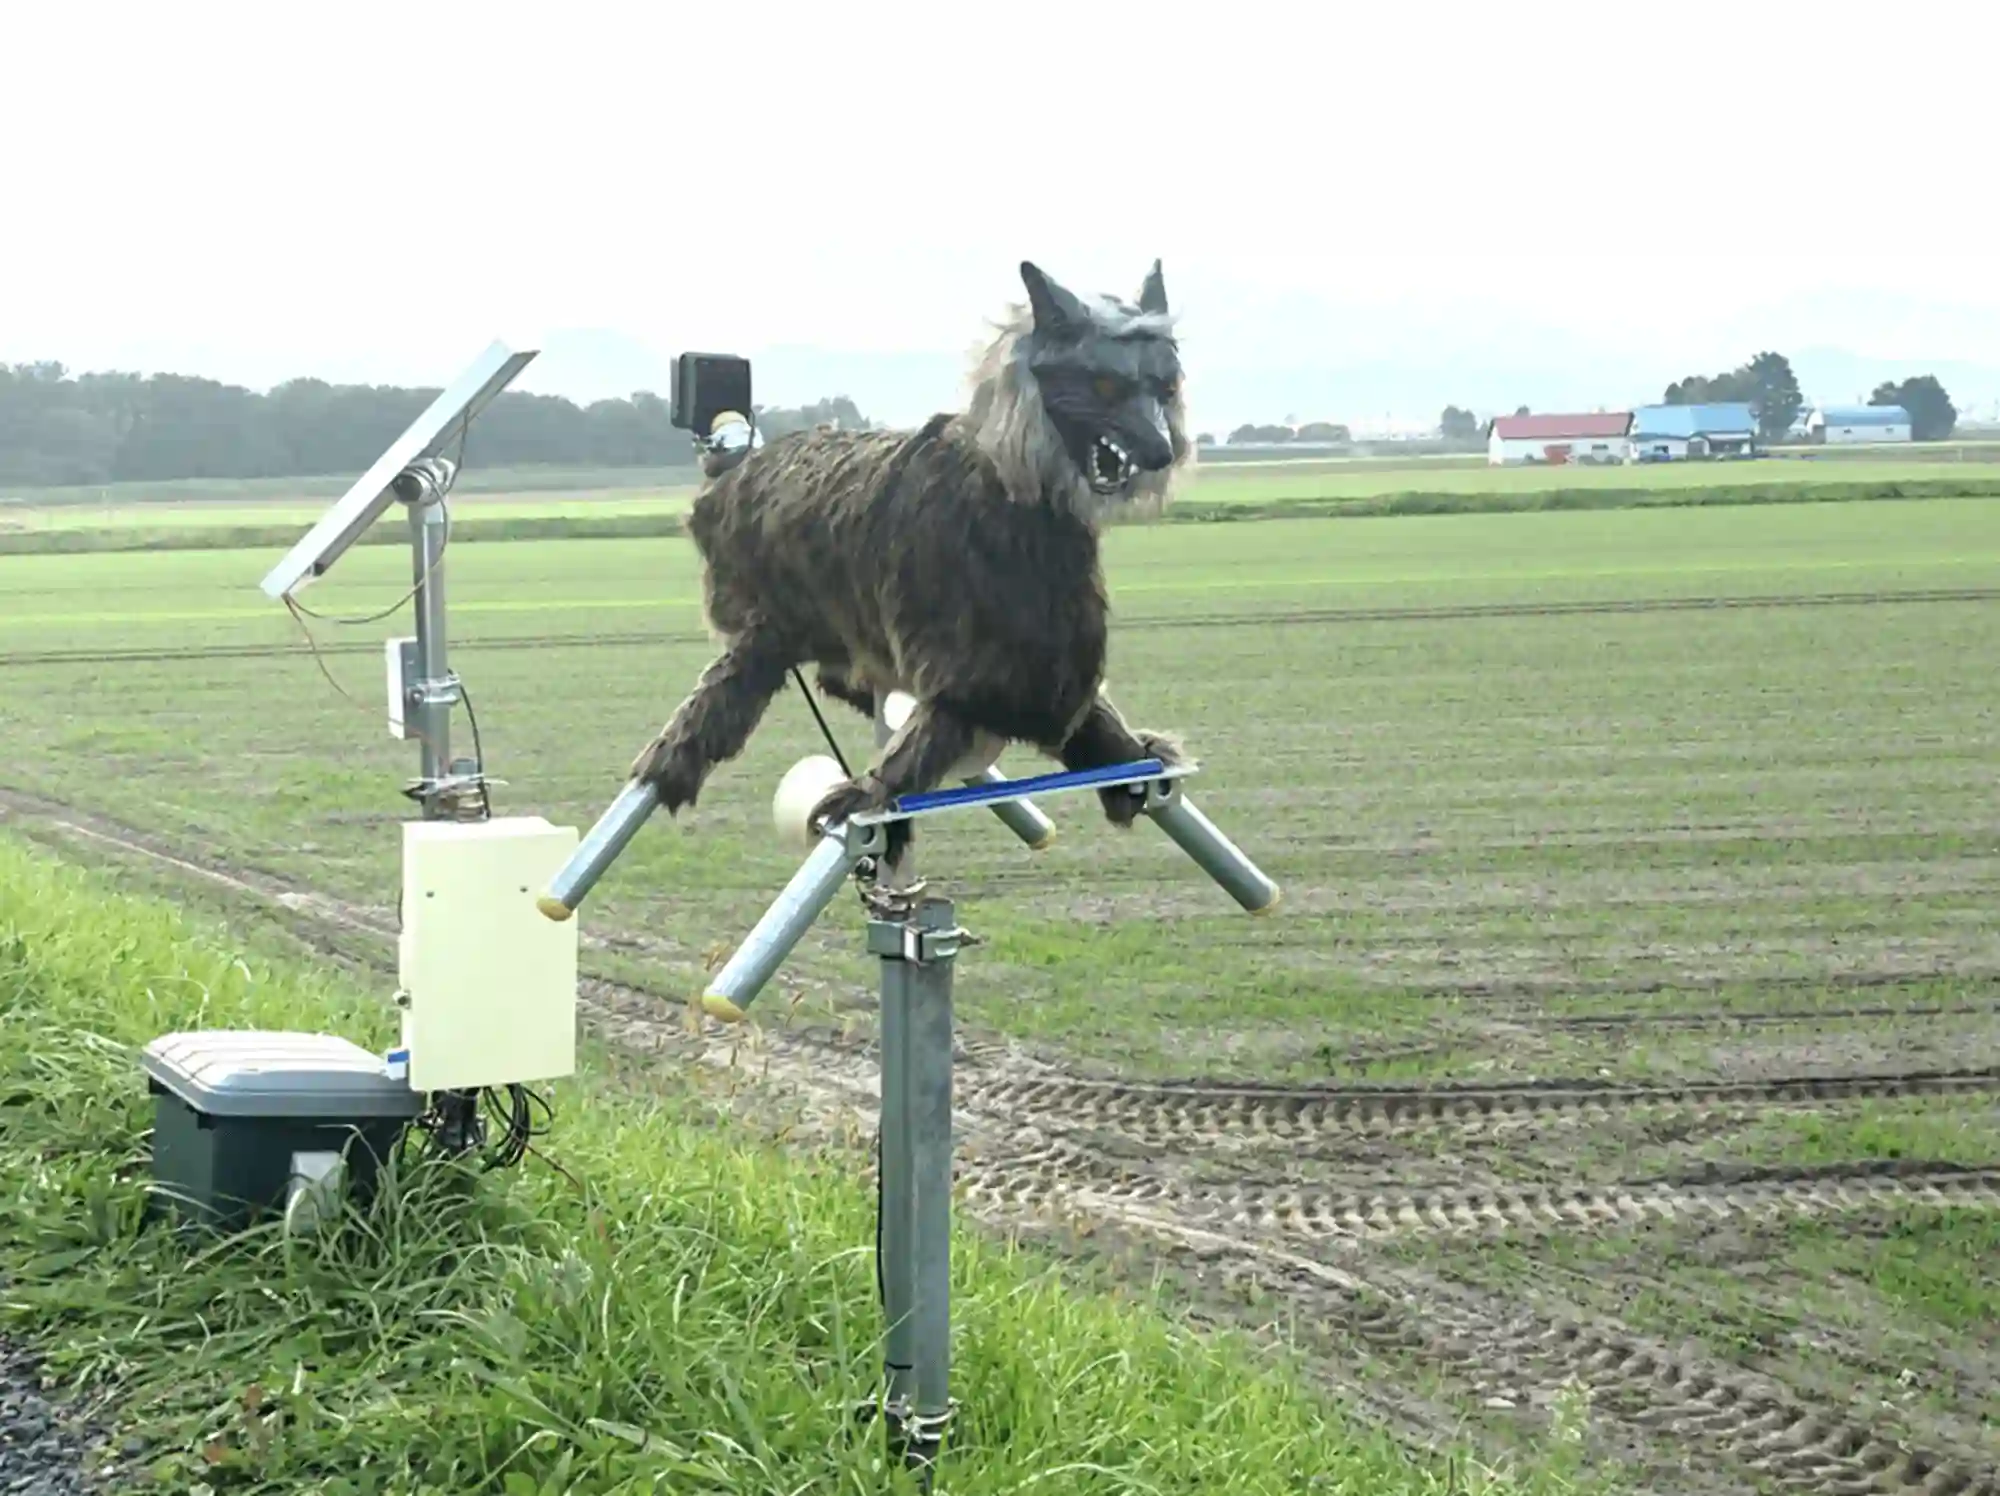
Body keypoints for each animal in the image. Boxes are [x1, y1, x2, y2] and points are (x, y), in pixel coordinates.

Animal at [628, 258, 1195, 862]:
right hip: (774, 625)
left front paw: (1138, 754)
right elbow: (923, 742)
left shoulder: (1049, 671)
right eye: (1104, 383)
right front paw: (867, 795)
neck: (1010, 498)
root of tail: (738, 459)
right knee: (723, 697)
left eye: (1166, 385)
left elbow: (1093, 719)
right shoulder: (967, 669)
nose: (1162, 451)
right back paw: (667, 766)